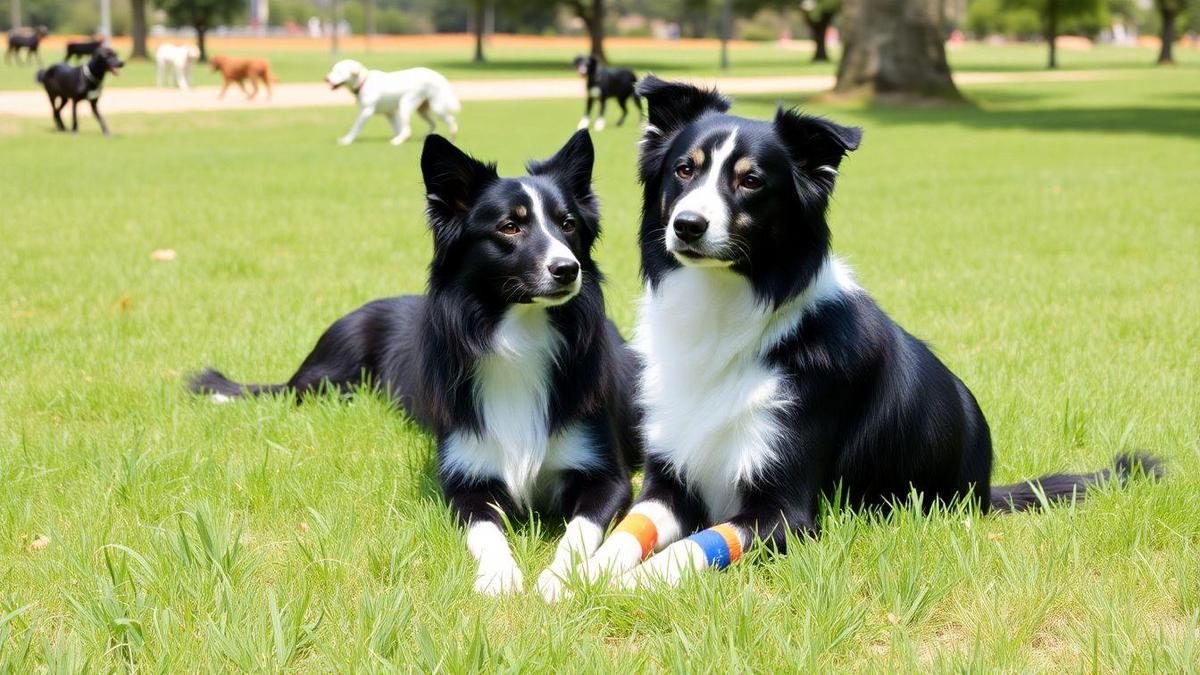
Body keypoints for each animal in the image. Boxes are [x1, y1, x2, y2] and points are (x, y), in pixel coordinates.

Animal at [194, 130, 648, 593]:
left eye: (568, 224)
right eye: (509, 226)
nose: (567, 269)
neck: (520, 334)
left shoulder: (607, 477)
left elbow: (580, 531)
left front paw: (559, 578)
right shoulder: (466, 479)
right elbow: (486, 533)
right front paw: (498, 575)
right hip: (327, 379)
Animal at [324, 59, 458, 147]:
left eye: (339, 71)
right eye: (332, 70)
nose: (326, 79)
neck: (364, 82)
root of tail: (436, 74)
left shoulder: (366, 111)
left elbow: (356, 127)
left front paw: (347, 140)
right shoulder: (389, 114)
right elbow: (397, 128)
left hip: (410, 104)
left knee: (450, 121)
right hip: (422, 110)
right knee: (433, 123)